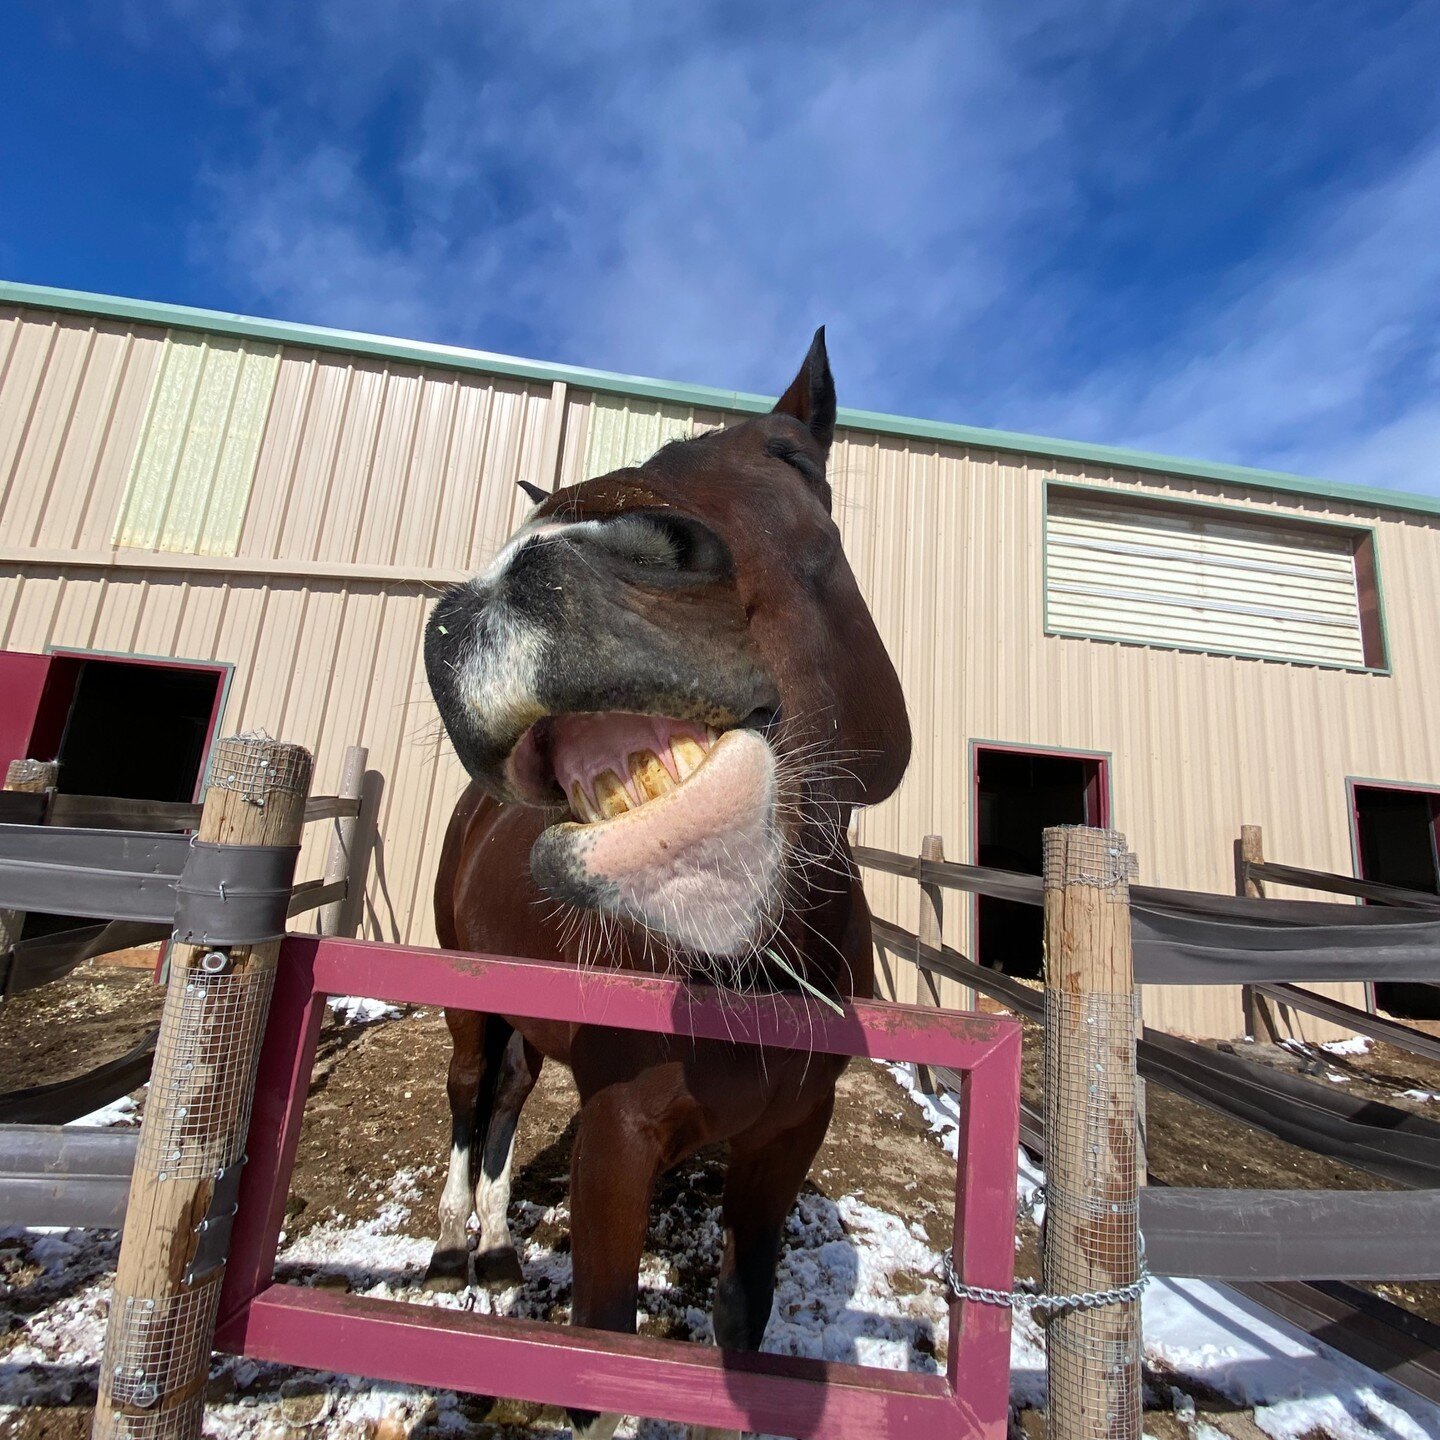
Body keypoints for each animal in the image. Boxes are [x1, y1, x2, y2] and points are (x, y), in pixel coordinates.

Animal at [420, 334, 910, 1440]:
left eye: (793, 461)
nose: (531, 572)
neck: (746, 977)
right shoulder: (616, 1138)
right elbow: (601, 1366)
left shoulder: (788, 1138)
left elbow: (741, 1317)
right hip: (469, 999)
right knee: (471, 1091)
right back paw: (455, 1240)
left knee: (509, 1092)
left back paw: (498, 1243)